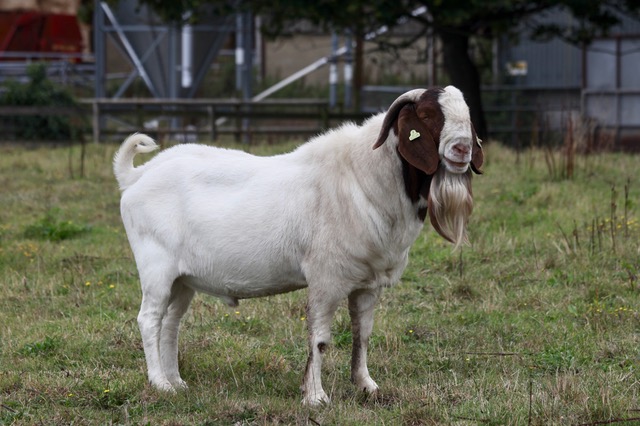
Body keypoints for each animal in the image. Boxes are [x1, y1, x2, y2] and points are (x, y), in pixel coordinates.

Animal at [114, 85, 483, 405]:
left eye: (466, 115)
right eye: (426, 114)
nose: (462, 150)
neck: (362, 178)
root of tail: (136, 176)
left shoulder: (368, 283)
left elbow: (362, 334)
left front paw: (366, 386)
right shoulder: (326, 278)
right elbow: (319, 338)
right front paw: (315, 396)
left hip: (183, 279)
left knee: (170, 323)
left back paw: (176, 381)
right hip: (156, 268)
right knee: (149, 319)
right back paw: (160, 384)